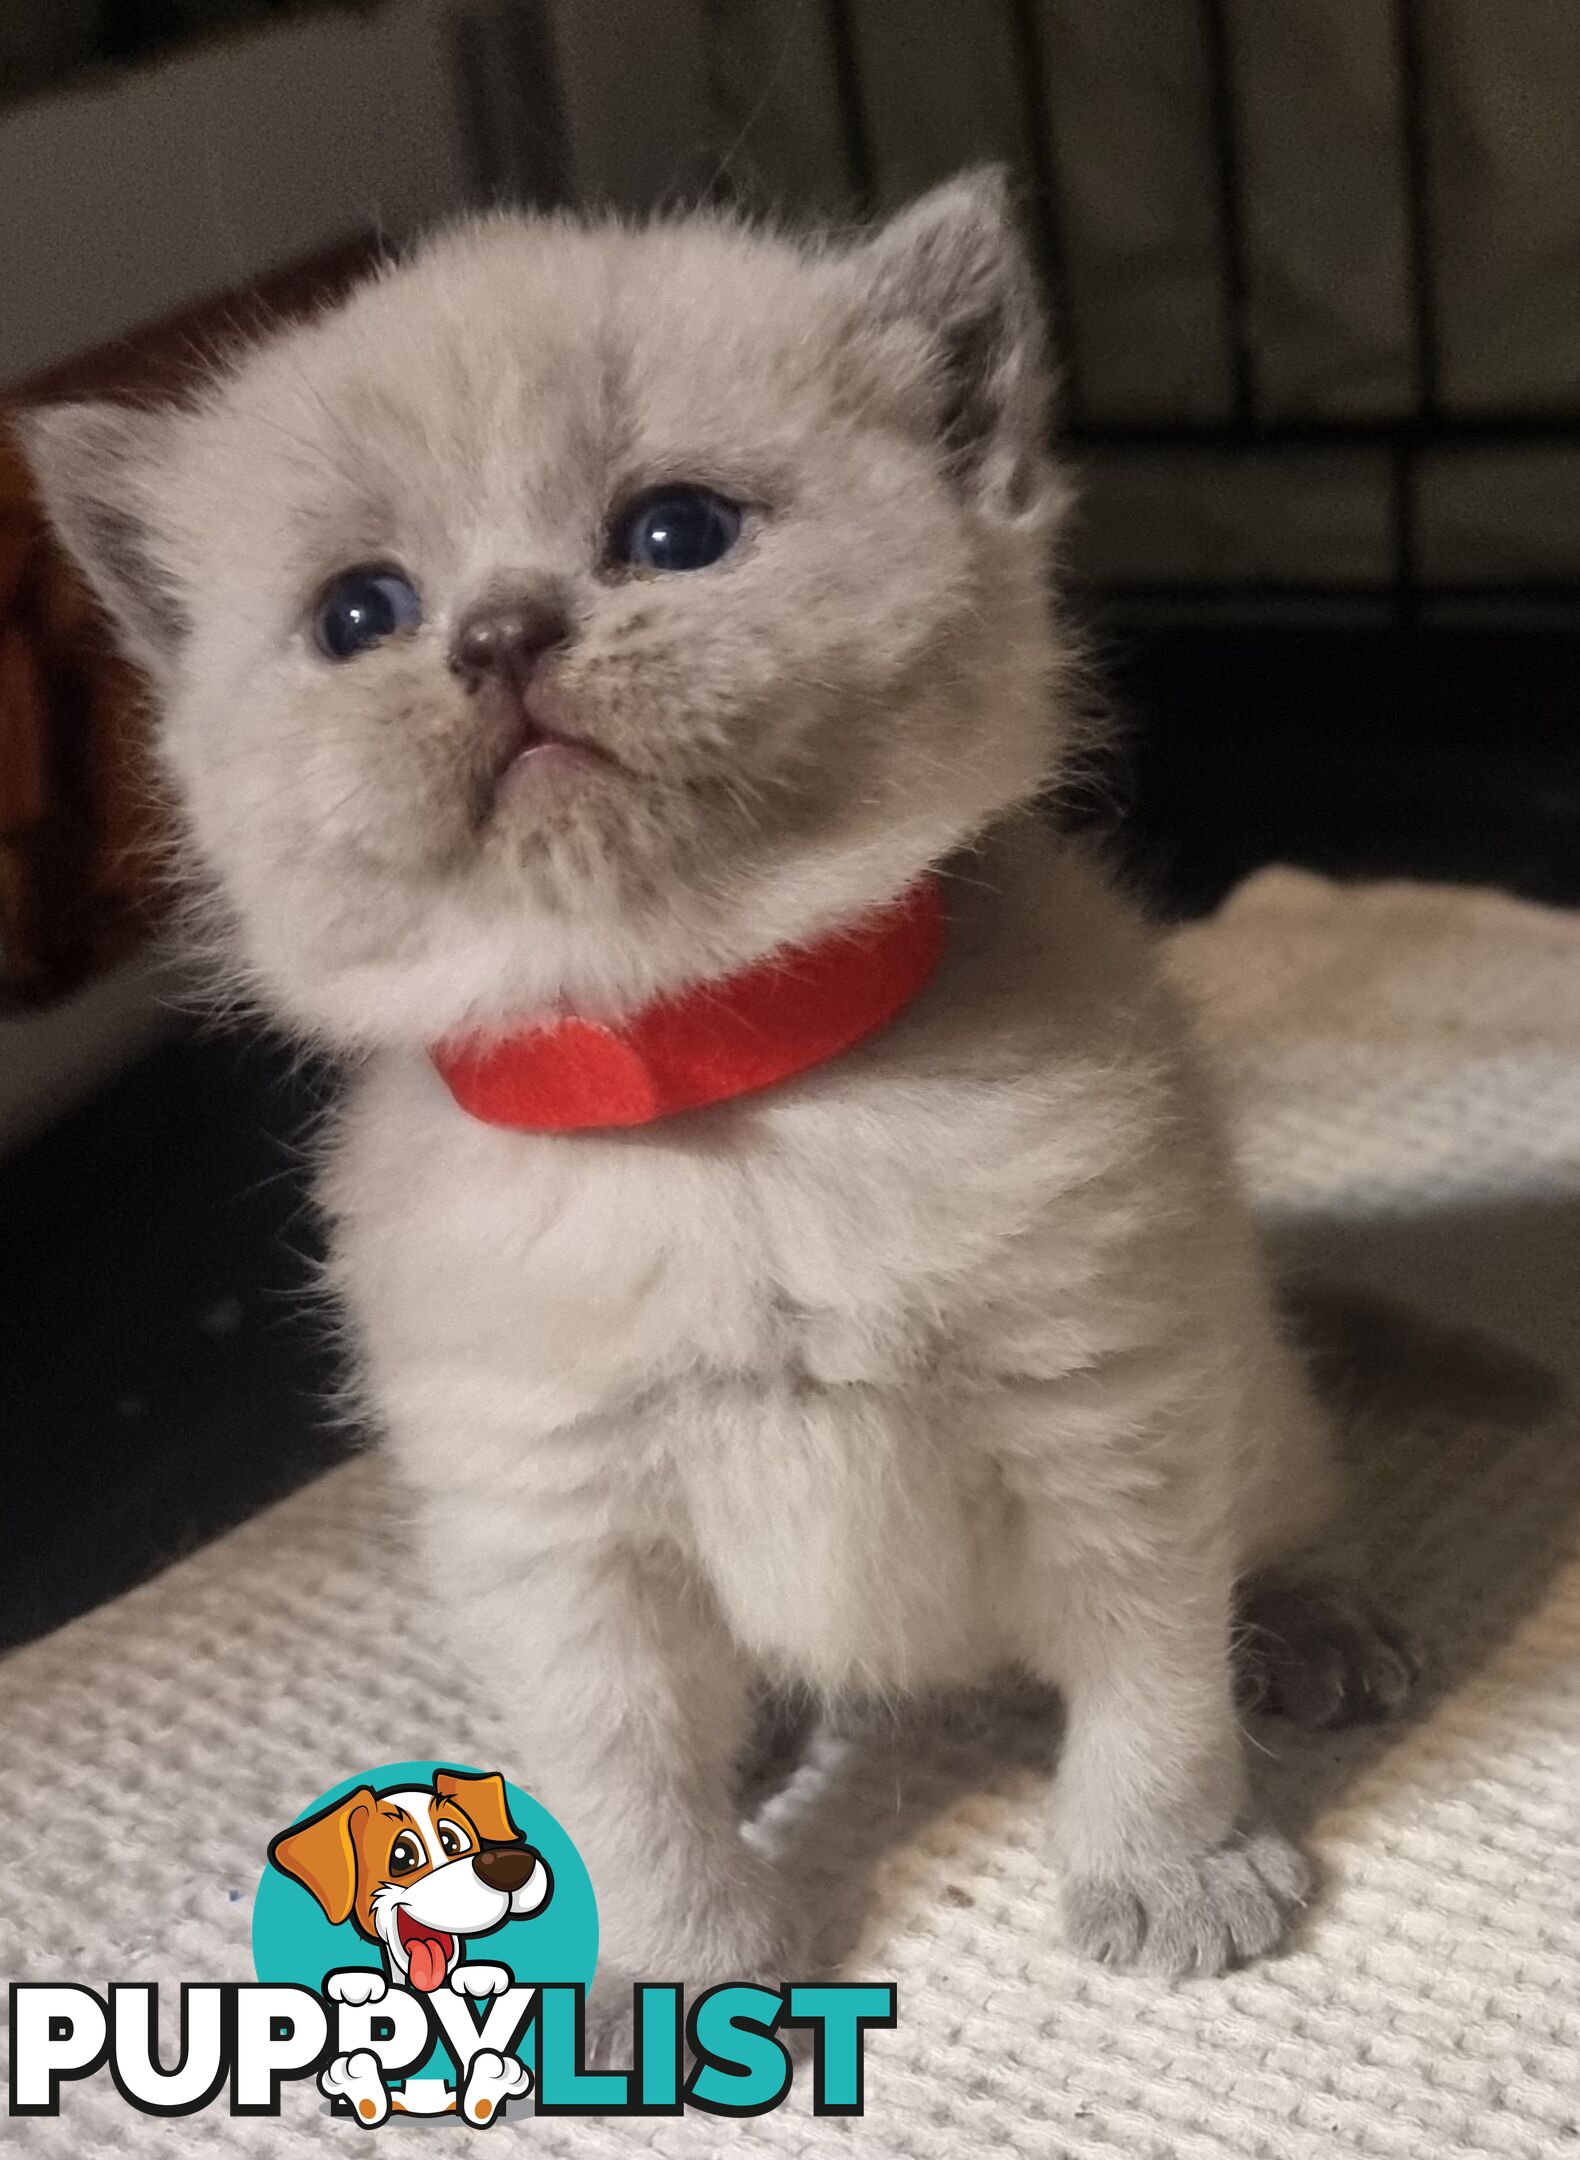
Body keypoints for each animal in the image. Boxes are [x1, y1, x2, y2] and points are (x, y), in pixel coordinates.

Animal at [24, 172, 1417, 2004]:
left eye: (677, 532)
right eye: (359, 615)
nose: (499, 633)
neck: (716, 1109)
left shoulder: (1107, 1416)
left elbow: (1150, 1684)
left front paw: (1170, 1874)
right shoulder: (553, 1528)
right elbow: (626, 1780)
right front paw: (669, 1965)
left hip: (1242, 1389)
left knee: (1297, 1495)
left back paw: (1321, 1629)